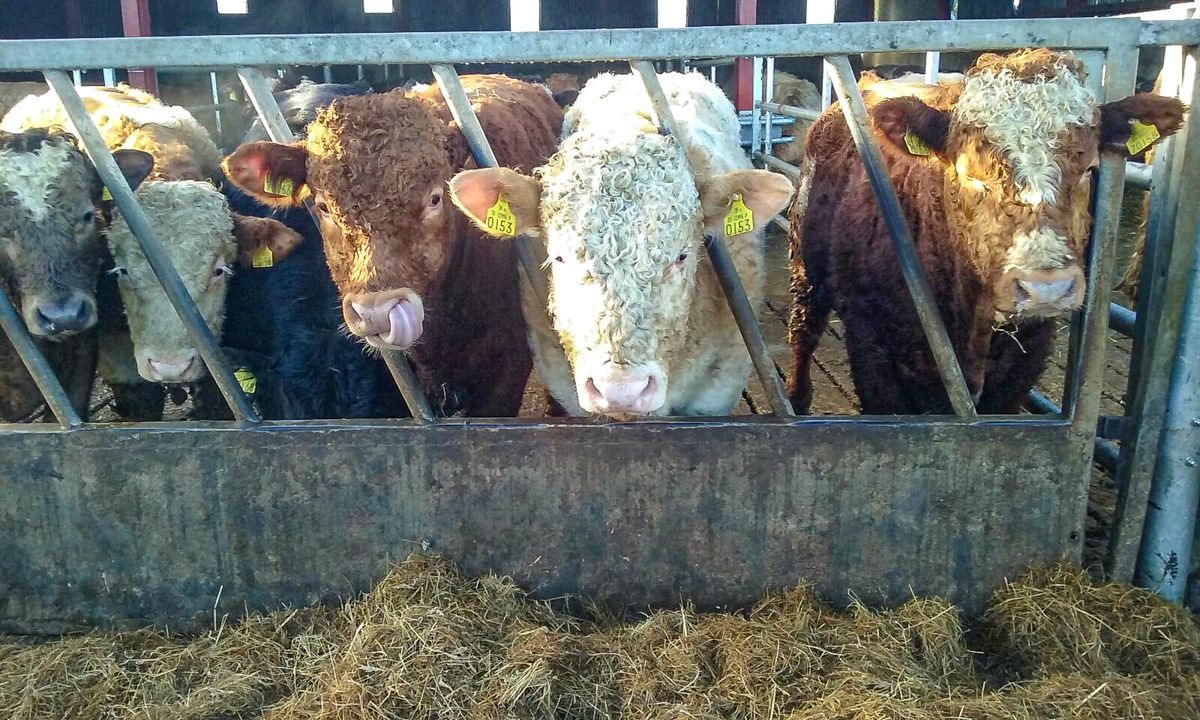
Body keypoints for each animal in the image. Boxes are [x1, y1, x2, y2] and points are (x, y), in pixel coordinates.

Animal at [787, 48, 1185, 415]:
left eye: (1089, 168)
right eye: (969, 173)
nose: (1046, 288)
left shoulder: (1024, 360)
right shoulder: (872, 347)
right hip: (804, 270)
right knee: (803, 331)